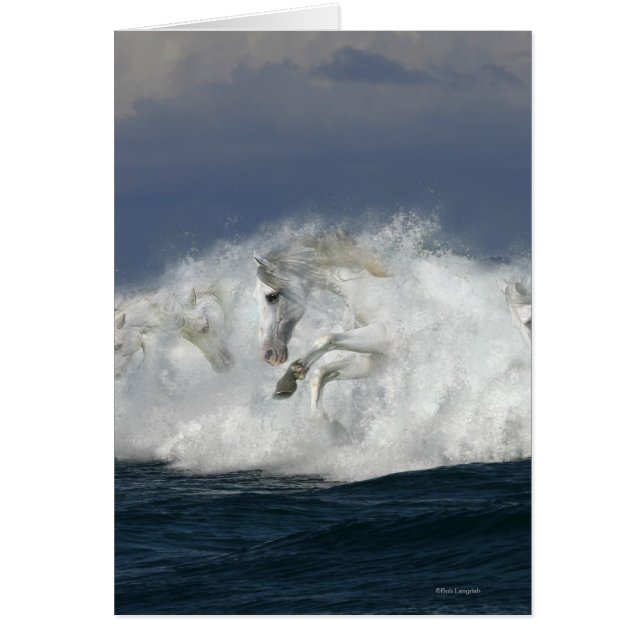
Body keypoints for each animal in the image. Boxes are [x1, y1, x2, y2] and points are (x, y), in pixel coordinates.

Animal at [254, 232, 391, 420]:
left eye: (272, 296)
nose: (267, 354)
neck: (369, 290)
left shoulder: (387, 335)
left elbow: (326, 339)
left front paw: (290, 378)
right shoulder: (378, 358)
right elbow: (319, 375)